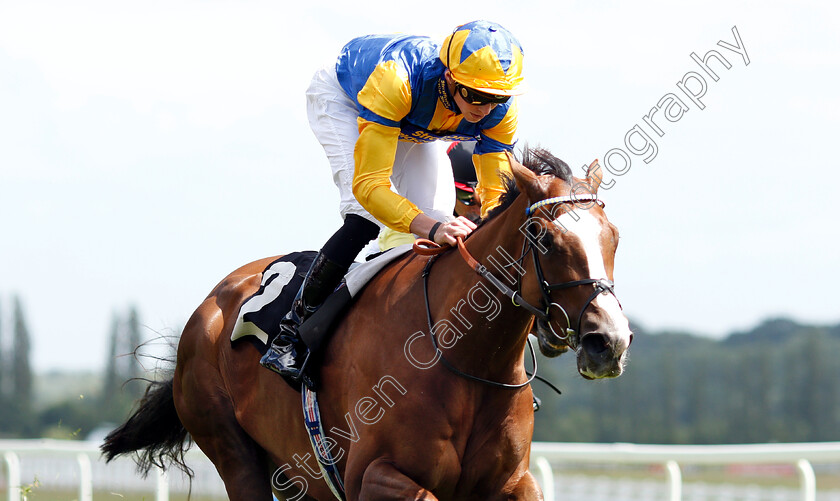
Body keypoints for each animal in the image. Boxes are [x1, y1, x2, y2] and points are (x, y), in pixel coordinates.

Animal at [101, 146, 632, 498]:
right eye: (543, 235)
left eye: (614, 236)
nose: (609, 340)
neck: (462, 356)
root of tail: (211, 304)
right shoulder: (371, 475)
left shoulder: (513, 482)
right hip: (233, 451)